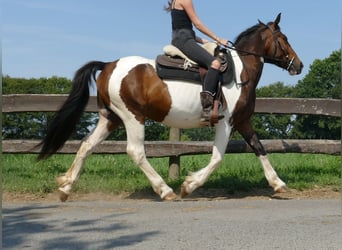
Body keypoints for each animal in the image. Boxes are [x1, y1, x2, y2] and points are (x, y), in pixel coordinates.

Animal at [38, 13, 304, 201]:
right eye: (284, 39)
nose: (299, 65)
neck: (241, 72)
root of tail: (108, 65)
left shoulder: (242, 120)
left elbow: (259, 148)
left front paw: (278, 183)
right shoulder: (226, 122)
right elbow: (217, 157)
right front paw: (189, 185)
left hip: (110, 118)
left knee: (86, 146)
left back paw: (66, 187)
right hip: (132, 116)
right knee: (136, 151)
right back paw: (165, 190)